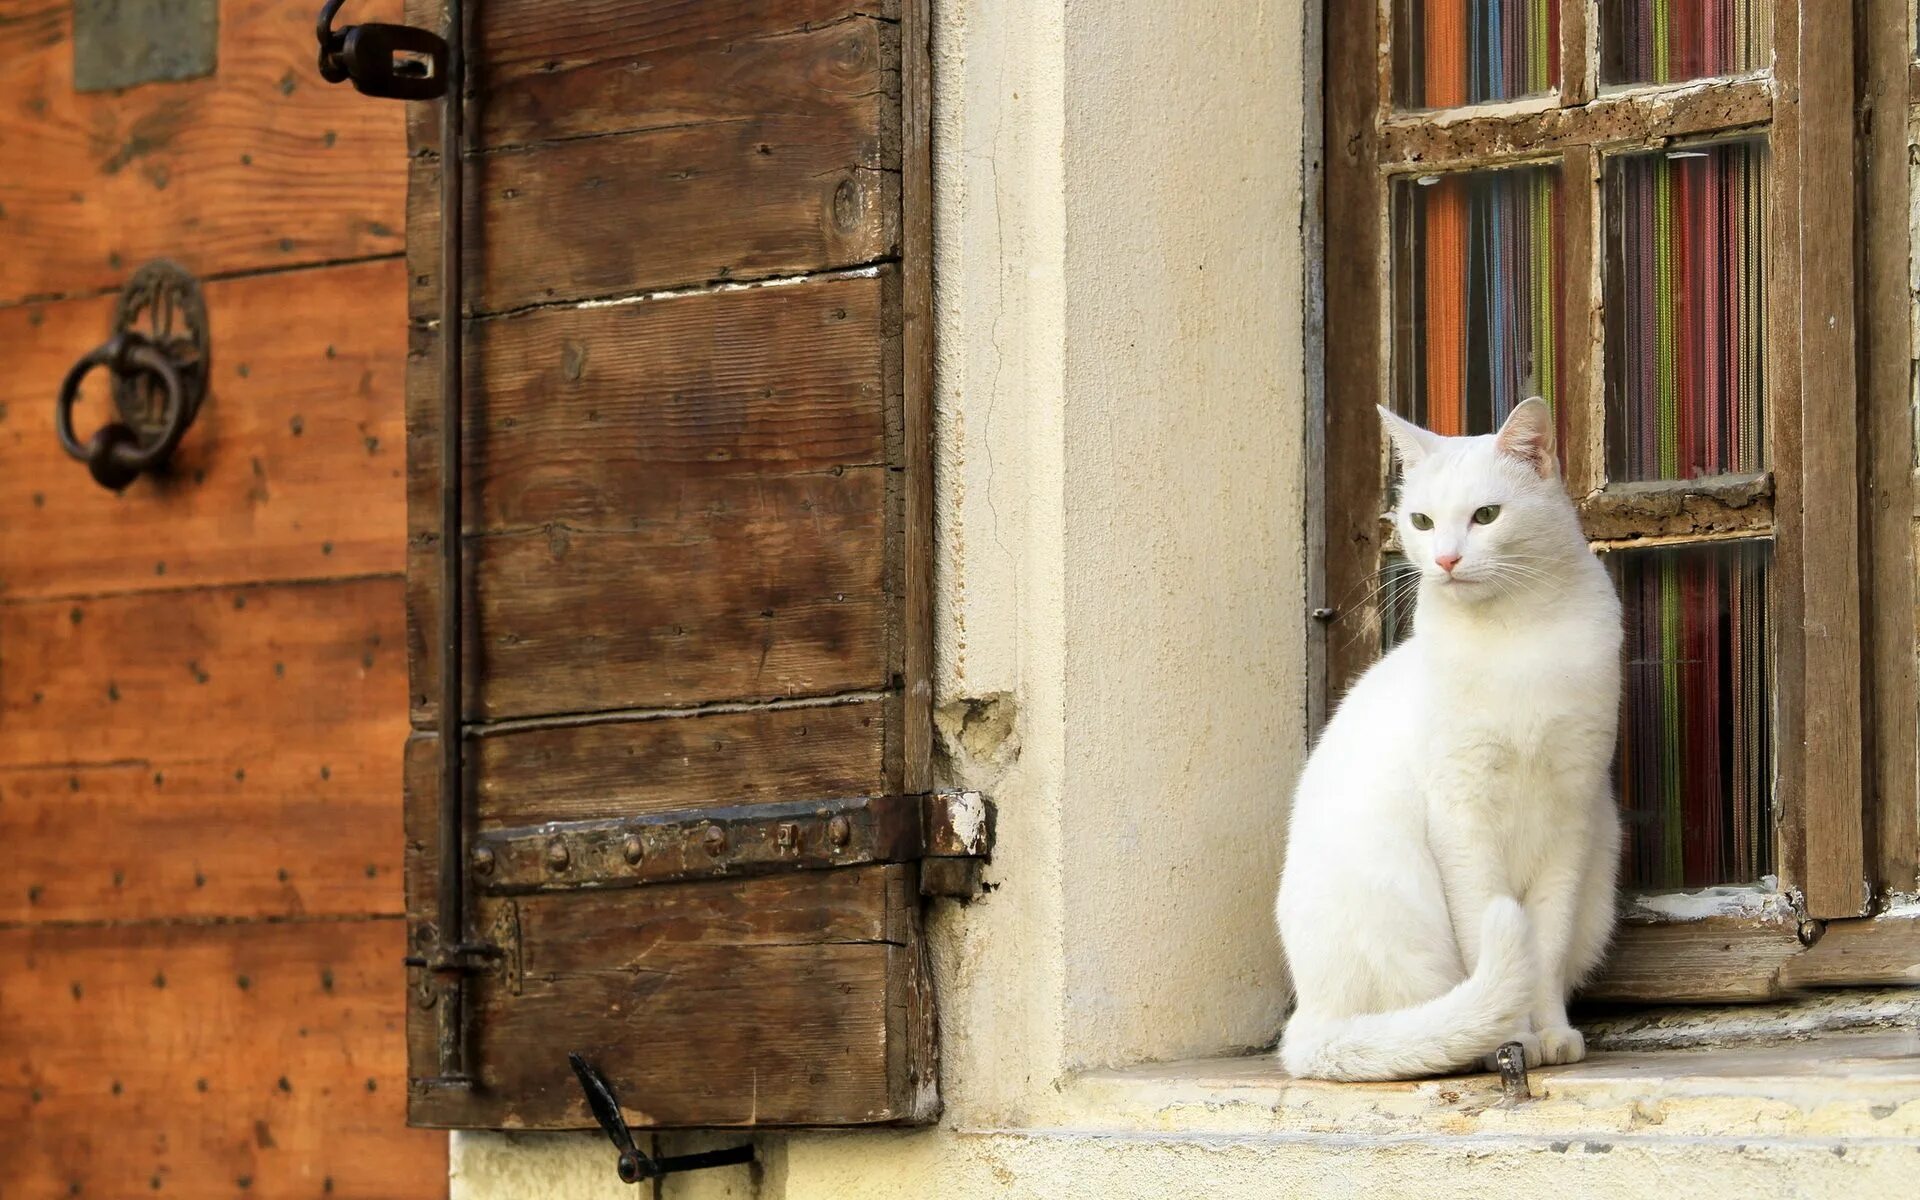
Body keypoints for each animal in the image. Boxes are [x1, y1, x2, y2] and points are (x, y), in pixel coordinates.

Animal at [1274, 399, 1620, 1075]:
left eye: (1486, 515)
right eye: (1422, 521)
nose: (1446, 561)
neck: (1516, 634)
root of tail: (1310, 1020)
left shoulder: (1573, 816)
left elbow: (1545, 948)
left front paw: (1551, 1033)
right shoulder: (1462, 817)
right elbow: (1488, 932)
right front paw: (1516, 1040)